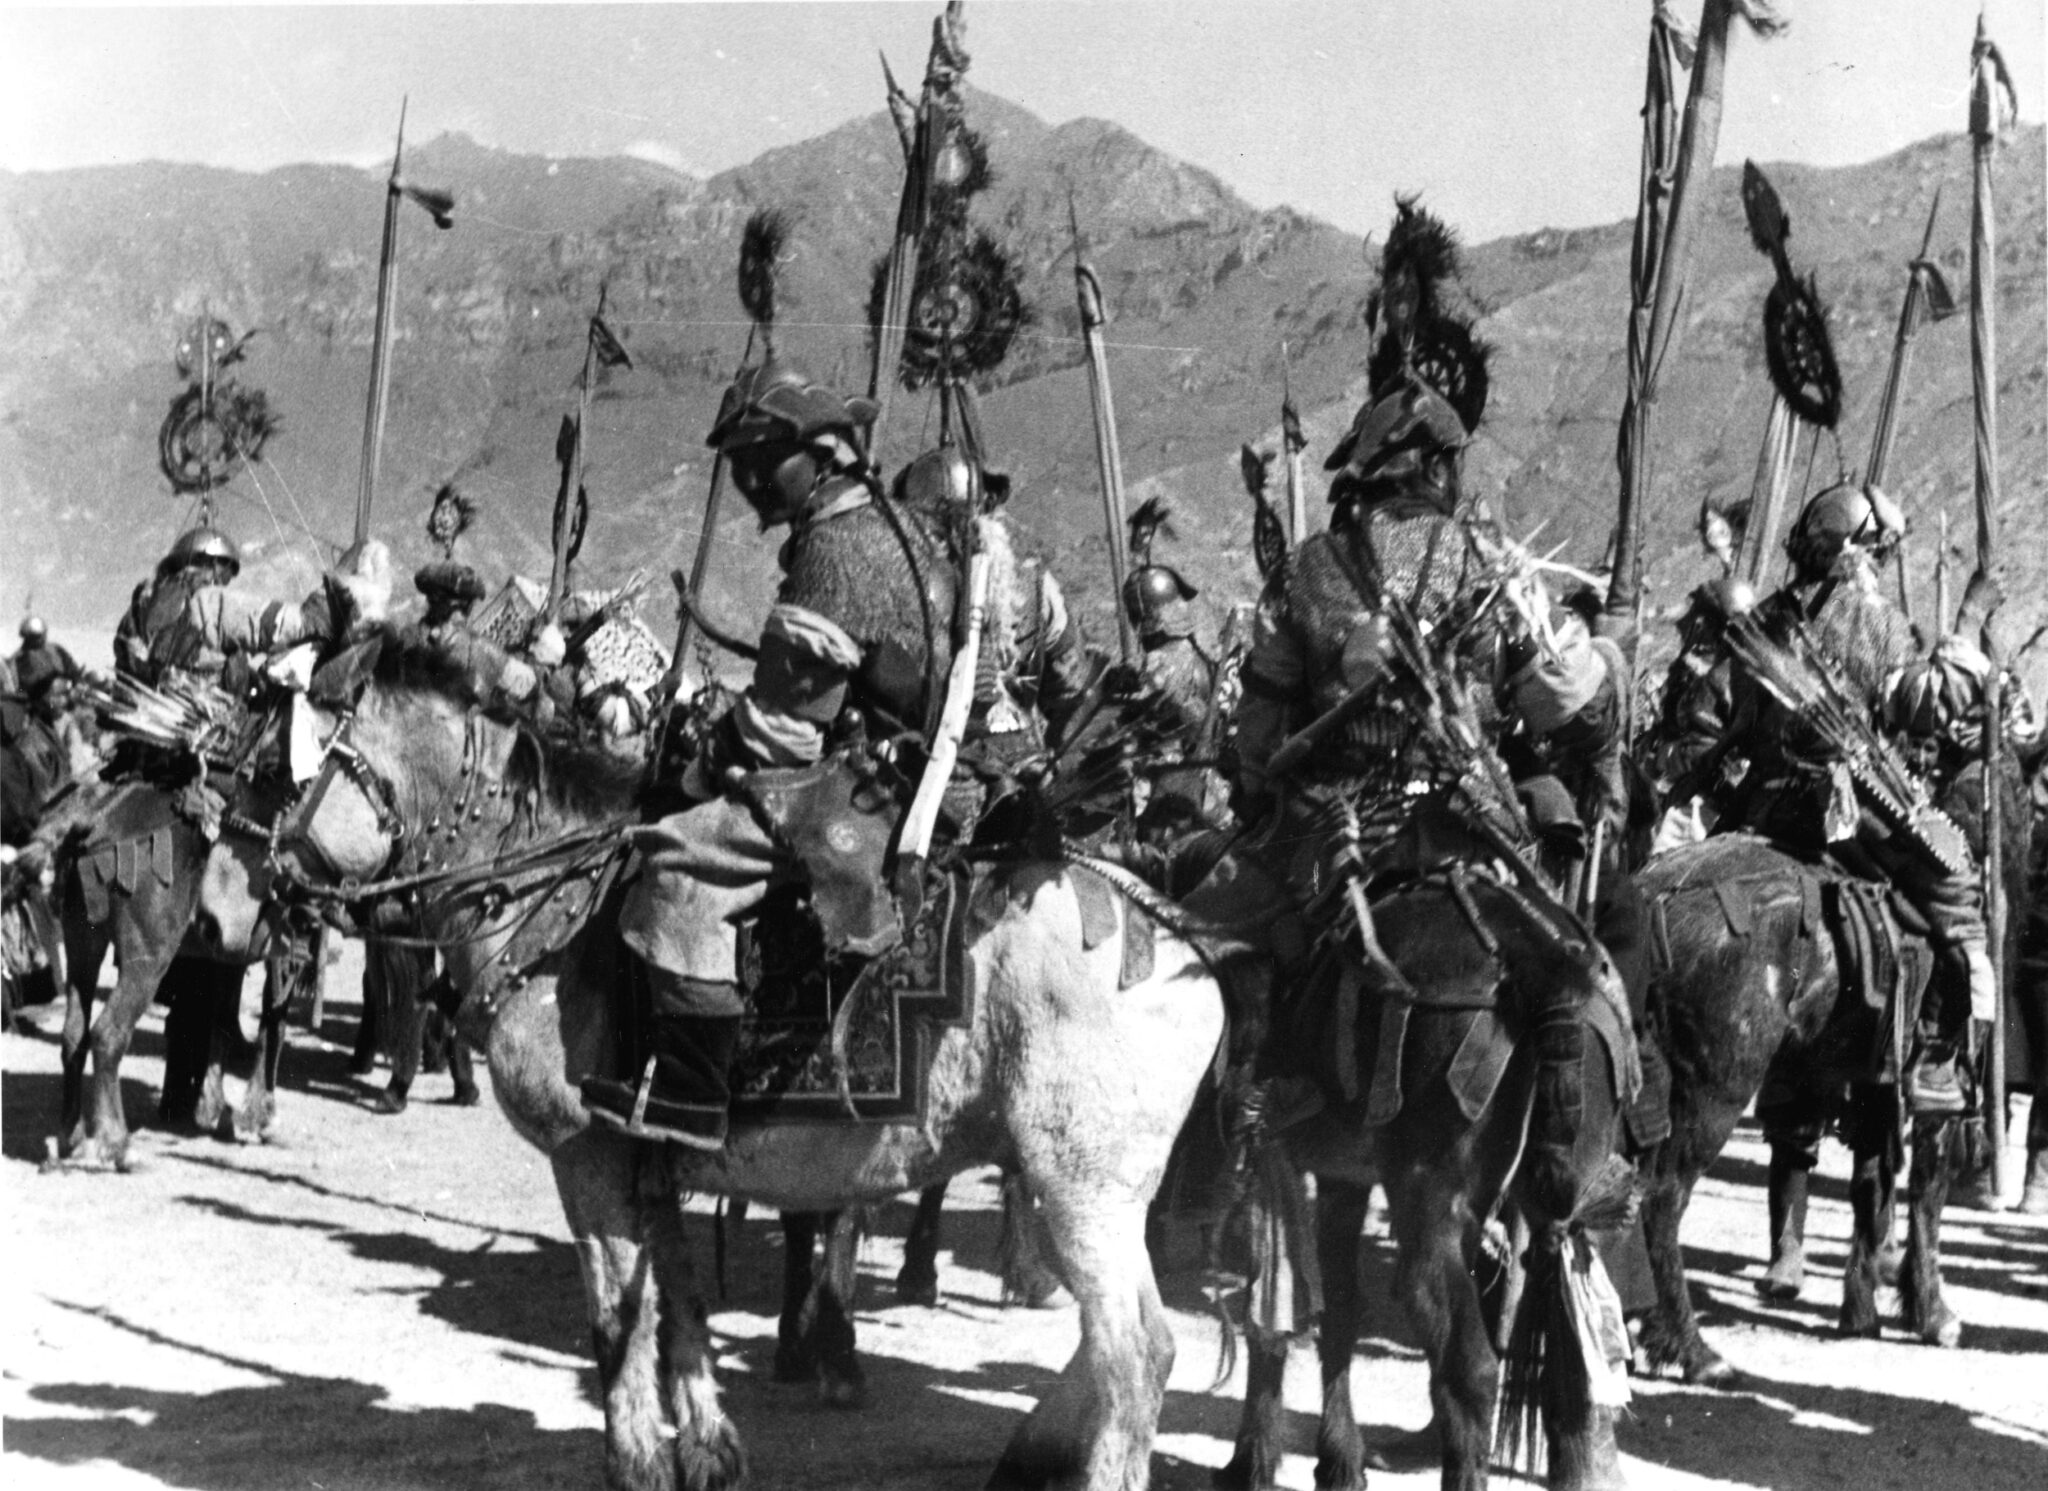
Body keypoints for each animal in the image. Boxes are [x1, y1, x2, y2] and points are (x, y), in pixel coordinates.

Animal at [203, 663, 1228, 1491]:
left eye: (281, 768)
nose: (229, 913)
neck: (559, 913)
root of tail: (1185, 943)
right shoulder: (654, 1160)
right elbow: (680, 1306)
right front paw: (706, 1448)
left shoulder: (588, 1161)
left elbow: (615, 1317)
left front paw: (637, 1461)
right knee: (1117, 1351)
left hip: (1082, 1188)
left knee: (1136, 1354)